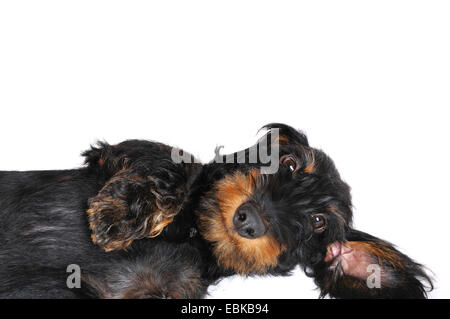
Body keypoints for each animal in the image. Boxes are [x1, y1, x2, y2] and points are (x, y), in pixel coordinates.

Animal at [0, 125, 430, 300]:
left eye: (318, 222)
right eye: (289, 163)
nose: (249, 219)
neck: (194, 235)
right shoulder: (113, 153)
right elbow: (177, 163)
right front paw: (118, 216)